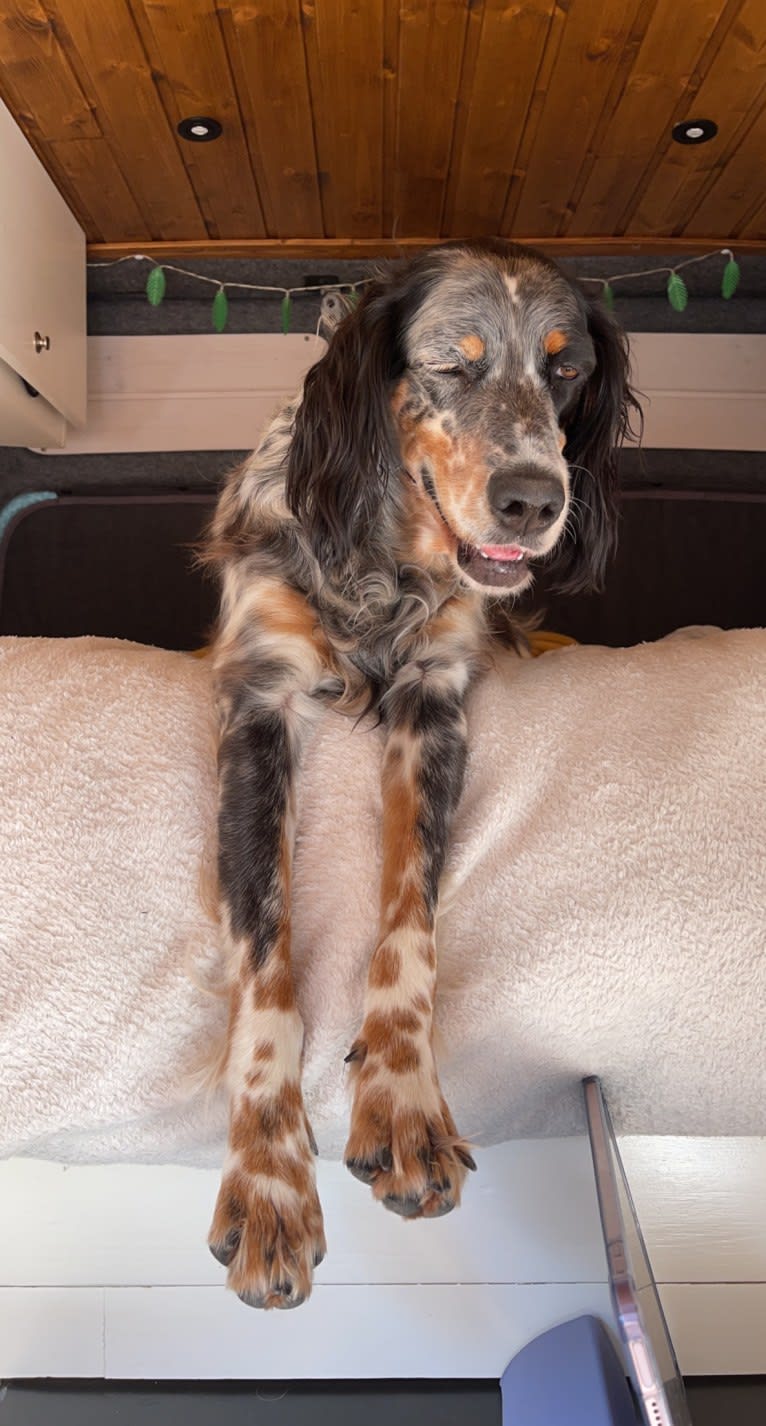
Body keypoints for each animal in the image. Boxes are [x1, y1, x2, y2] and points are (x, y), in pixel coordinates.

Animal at [199, 239, 636, 1306]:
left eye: (568, 370)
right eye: (450, 365)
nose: (534, 499)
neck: (382, 566)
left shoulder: (434, 703)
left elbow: (409, 927)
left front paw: (401, 1104)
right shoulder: (257, 706)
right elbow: (264, 968)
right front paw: (268, 1183)